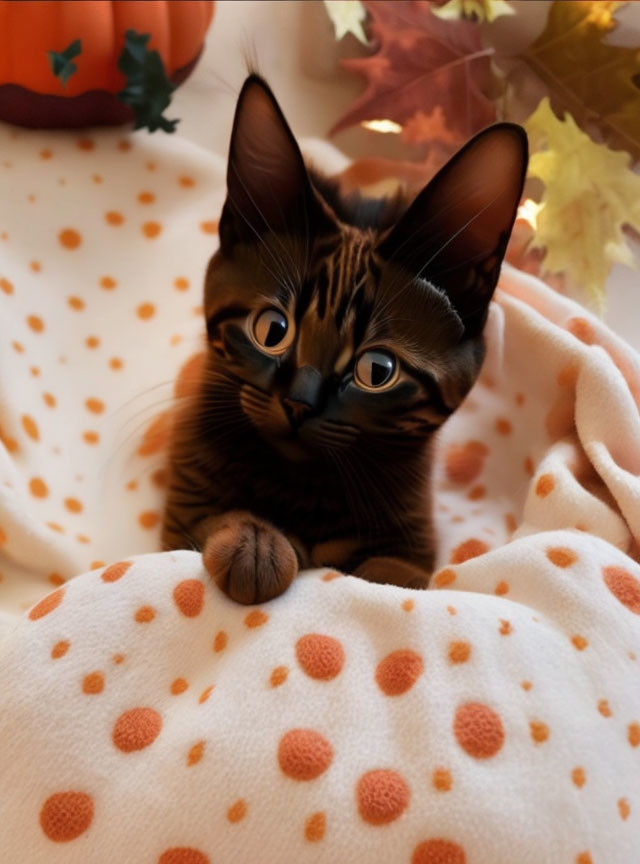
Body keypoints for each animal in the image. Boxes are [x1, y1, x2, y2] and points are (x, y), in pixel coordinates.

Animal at [162, 74, 528, 604]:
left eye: (377, 371)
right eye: (272, 330)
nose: (299, 403)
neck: (301, 486)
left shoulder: (413, 546)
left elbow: (396, 577)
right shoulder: (184, 508)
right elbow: (212, 521)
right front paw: (255, 542)